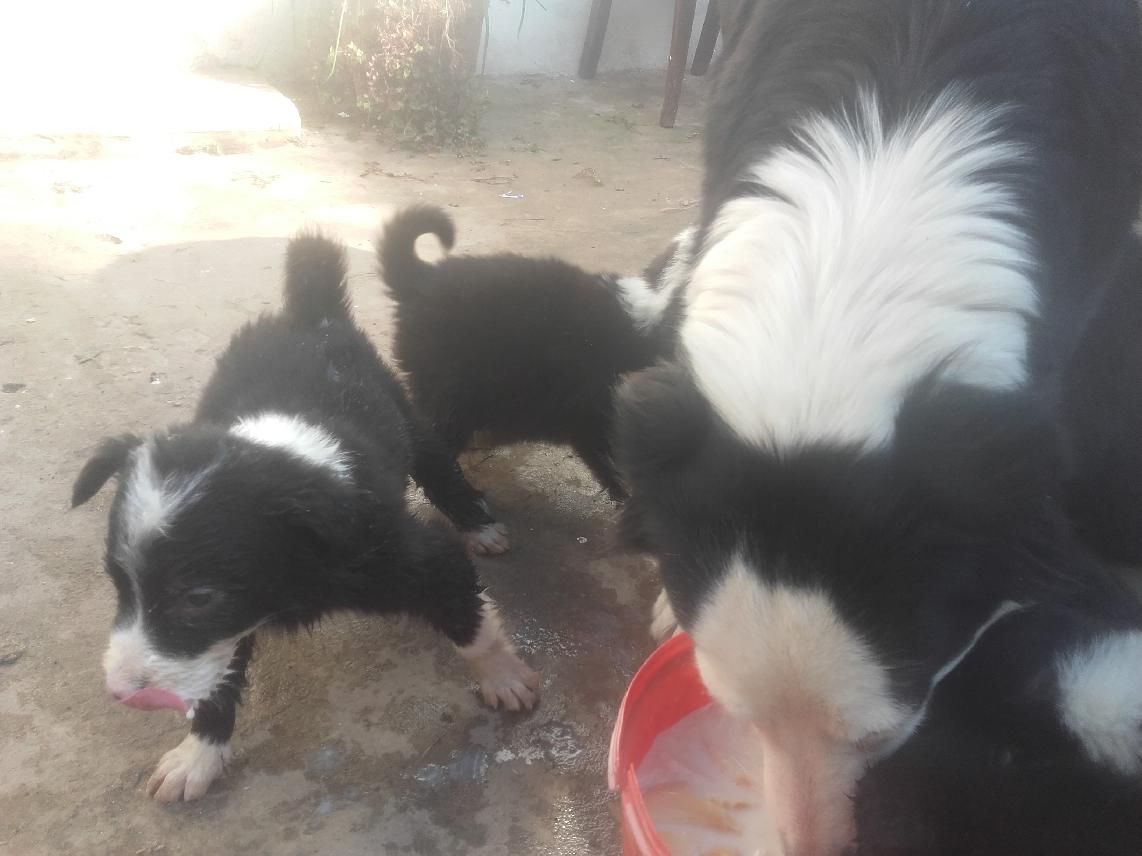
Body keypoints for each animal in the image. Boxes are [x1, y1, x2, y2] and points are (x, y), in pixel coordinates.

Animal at [71, 232, 540, 802]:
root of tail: (308, 312)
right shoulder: (225, 629)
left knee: (436, 463)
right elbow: (216, 676)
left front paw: (504, 678)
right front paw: (198, 754)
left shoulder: (412, 556)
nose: (121, 693)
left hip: (404, 411)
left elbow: (472, 623)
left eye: (197, 597)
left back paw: (479, 523)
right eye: (117, 583)